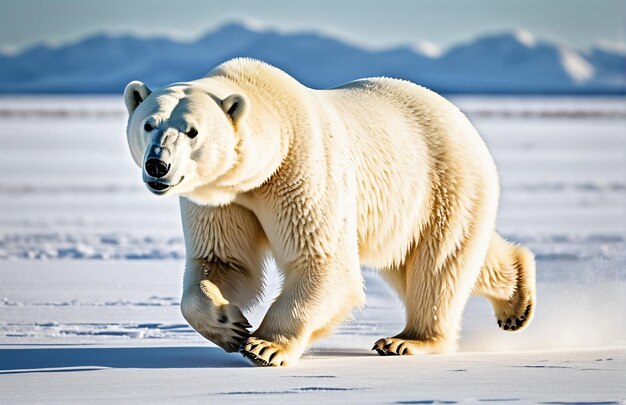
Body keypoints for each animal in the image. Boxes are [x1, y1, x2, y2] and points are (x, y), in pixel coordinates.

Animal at [124, 57, 532, 366]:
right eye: (149, 124)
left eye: (192, 131)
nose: (157, 165)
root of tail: (462, 120)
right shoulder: (223, 200)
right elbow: (223, 260)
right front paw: (230, 325)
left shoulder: (301, 171)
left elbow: (320, 259)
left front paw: (264, 347)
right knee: (419, 260)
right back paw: (516, 300)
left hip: (443, 183)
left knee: (436, 265)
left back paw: (407, 341)